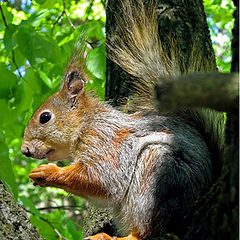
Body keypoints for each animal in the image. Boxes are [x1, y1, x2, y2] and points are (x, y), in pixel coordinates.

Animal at [20, 0, 238, 239]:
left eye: (45, 117)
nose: (24, 150)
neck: (87, 123)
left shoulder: (105, 141)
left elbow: (102, 178)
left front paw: (47, 172)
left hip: (155, 176)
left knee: (146, 231)